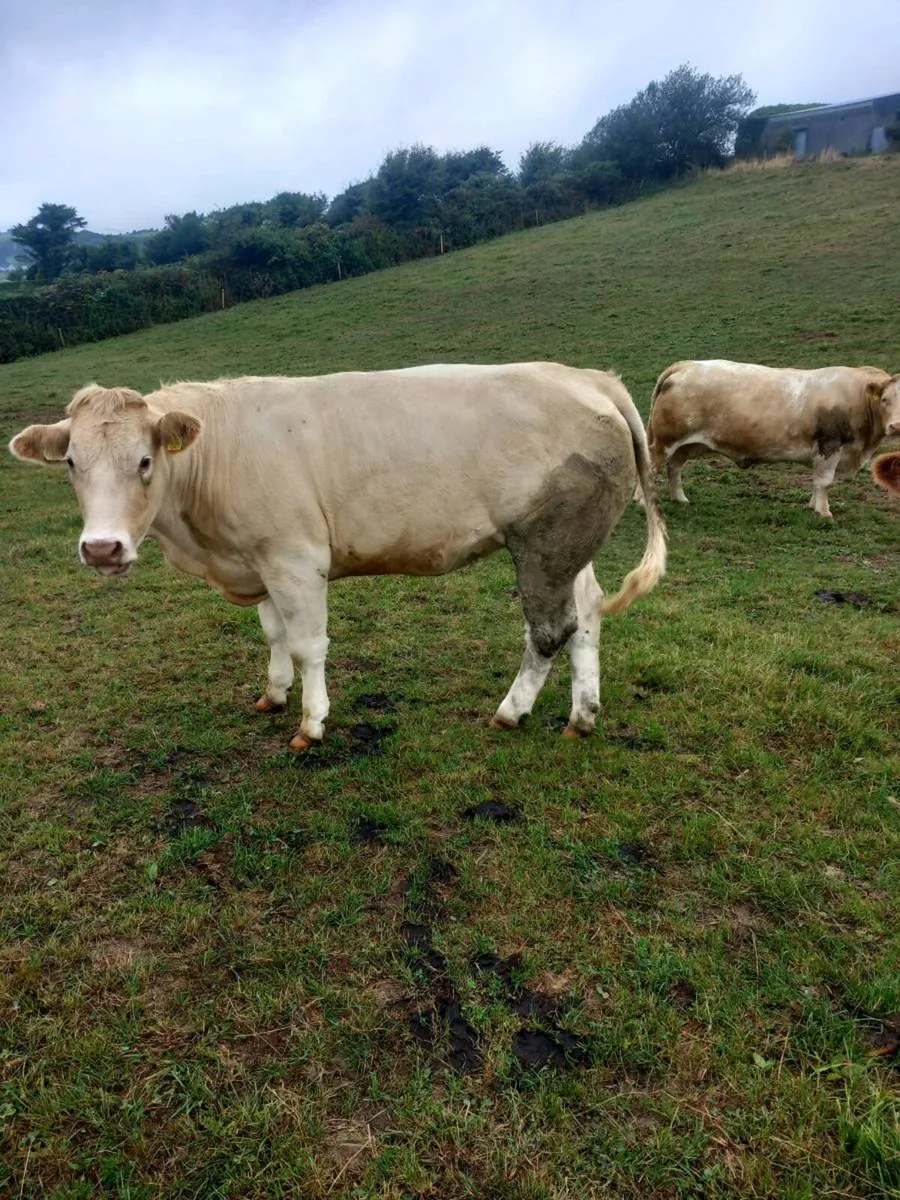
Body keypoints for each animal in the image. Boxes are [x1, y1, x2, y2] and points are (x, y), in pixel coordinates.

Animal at [9, 364, 666, 750]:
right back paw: (583, 714)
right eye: (72, 464)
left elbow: (307, 645)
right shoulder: (258, 558)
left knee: (548, 630)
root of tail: (585, 376)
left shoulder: (295, 559)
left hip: (542, 545)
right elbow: (273, 633)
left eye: (145, 461)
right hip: (568, 543)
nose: (101, 548)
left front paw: (311, 722)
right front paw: (274, 694)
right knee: (586, 615)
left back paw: (511, 710)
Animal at [644, 360, 900, 518]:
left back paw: (680, 499)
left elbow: (816, 482)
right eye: (884, 400)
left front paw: (812, 506)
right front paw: (824, 513)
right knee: (651, 469)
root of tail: (685, 365)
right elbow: (825, 481)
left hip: (686, 445)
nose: (896, 426)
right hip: (664, 442)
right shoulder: (830, 444)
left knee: (675, 468)